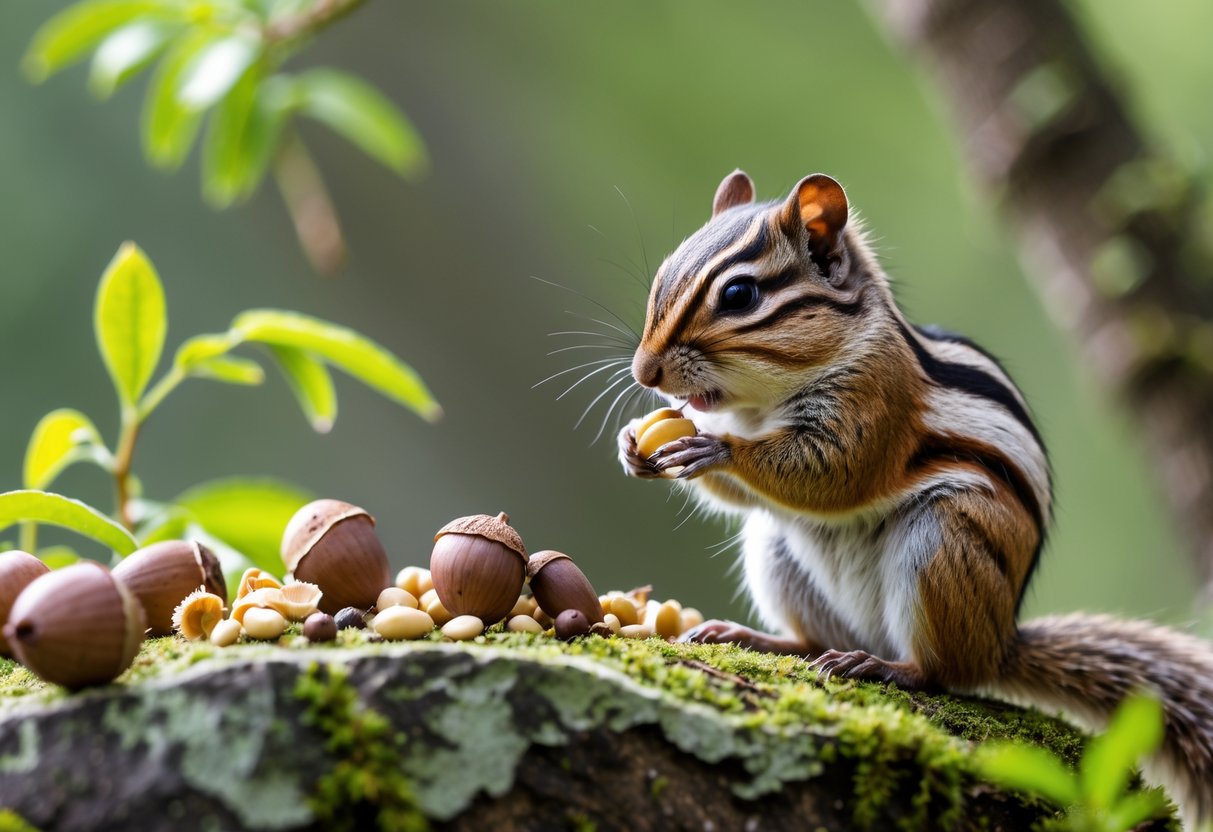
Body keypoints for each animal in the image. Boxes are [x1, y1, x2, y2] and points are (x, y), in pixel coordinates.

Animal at [616, 169, 1213, 824]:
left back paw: (883, 665)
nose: (644, 373)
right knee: (813, 638)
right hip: (775, 549)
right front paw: (633, 446)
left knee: (942, 673)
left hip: (943, 540)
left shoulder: (877, 404)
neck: (761, 405)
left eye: (740, 295)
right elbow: (745, 496)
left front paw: (714, 449)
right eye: (663, 272)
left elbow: (834, 471)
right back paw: (756, 637)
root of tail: (999, 644)